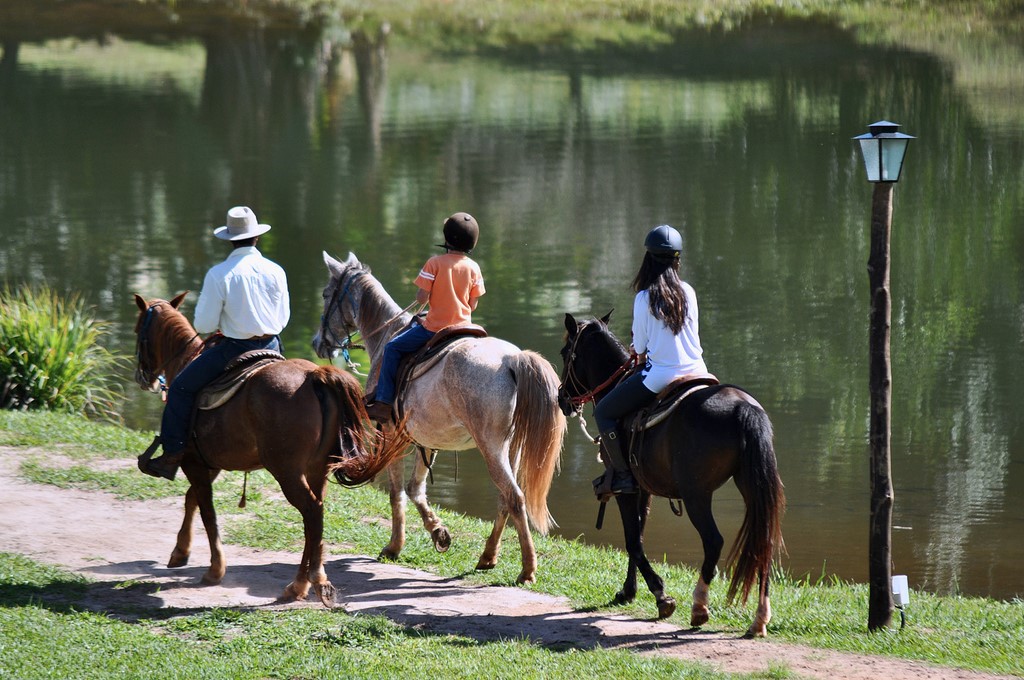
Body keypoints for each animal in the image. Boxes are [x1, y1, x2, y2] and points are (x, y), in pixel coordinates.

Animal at [132, 292, 407, 606]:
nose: (143, 378)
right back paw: (302, 583)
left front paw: (214, 570)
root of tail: (315, 376)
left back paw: (307, 583)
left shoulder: (193, 461)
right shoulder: (208, 463)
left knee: (311, 512)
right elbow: (193, 500)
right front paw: (181, 552)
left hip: (287, 471)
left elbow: (207, 511)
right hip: (317, 469)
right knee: (315, 517)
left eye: (138, 330)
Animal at [561, 313, 782, 639]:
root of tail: (743, 408)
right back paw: (759, 618)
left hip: (696, 495)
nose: (561, 399)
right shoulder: (642, 489)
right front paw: (628, 591)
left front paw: (661, 595)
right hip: (750, 486)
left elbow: (633, 541)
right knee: (763, 541)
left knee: (713, 541)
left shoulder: (625, 489)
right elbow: (638, 535)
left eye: (565, 353)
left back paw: (699, 606)